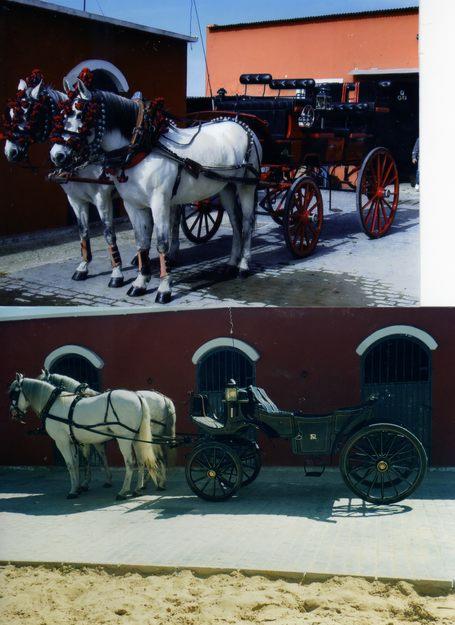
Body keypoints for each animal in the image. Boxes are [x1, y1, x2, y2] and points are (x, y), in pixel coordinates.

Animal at [3, 73, 125, 286]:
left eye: (29, 115)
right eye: (10, 113)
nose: (10, 152)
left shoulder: (102, 198)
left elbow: (108, 233)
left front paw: (116, 272)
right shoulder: (75, 199)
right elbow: (83, 231)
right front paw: (83, 267)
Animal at [8, 372, 164, 500]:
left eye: (14, 394)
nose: (13, 413)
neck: (54, 403)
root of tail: (137, 396)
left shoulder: (62, 442)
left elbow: (71, 465)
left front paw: (73, 491)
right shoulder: (73, 441)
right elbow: (77, 463)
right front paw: (78, 487)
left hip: (124, 439)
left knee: (130, 463)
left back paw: (123, 491)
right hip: (136, 438)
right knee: (142, 460)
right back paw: (138, 489)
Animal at [40, 368, 176, 490]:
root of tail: (164, 398)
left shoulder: (86, 440)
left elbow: (88, 458)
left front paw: (86, 482)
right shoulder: (93, 439)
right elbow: (102, 457)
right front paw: (105, 480)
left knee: (158, 458)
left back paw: (157, 483)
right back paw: (151, 482)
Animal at [50, 79, 262, 304]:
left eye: (80, 115)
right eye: (60, 115)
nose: (57, 155)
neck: (142, 148)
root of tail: (240, 124)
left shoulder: (159, 202)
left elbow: (161, 243)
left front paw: (164, 288)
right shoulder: (133, 205)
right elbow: (141, 242)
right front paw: (140, 283)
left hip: (247, 186)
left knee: (246, 223)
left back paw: (243, 266)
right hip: (226, 188)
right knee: (236, 223)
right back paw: (231, 264)